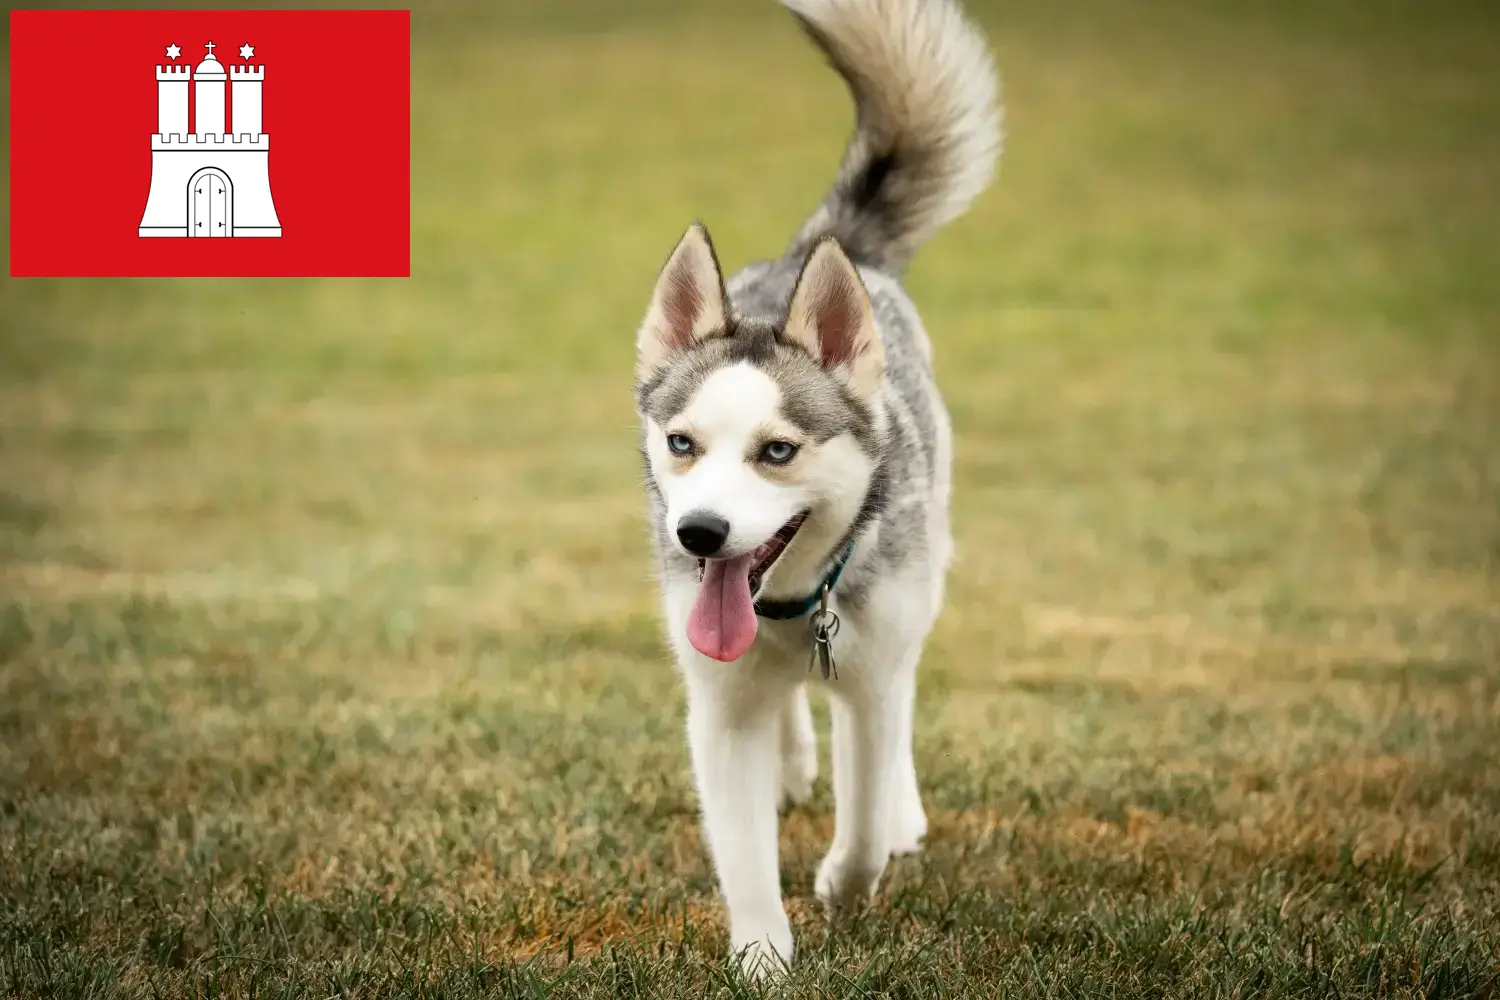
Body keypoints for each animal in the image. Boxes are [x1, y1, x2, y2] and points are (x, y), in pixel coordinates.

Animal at [630, 0, 996, 977]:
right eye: (682, 443)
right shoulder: (718, 710)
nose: (700, 533)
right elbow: (742, 849)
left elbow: (864, 802)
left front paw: (847, 881)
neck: (796, 608)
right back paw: (793, 758)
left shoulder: (869, 677)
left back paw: (898, 810)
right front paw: (763, 958)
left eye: (778, 451)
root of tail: (812, 253)